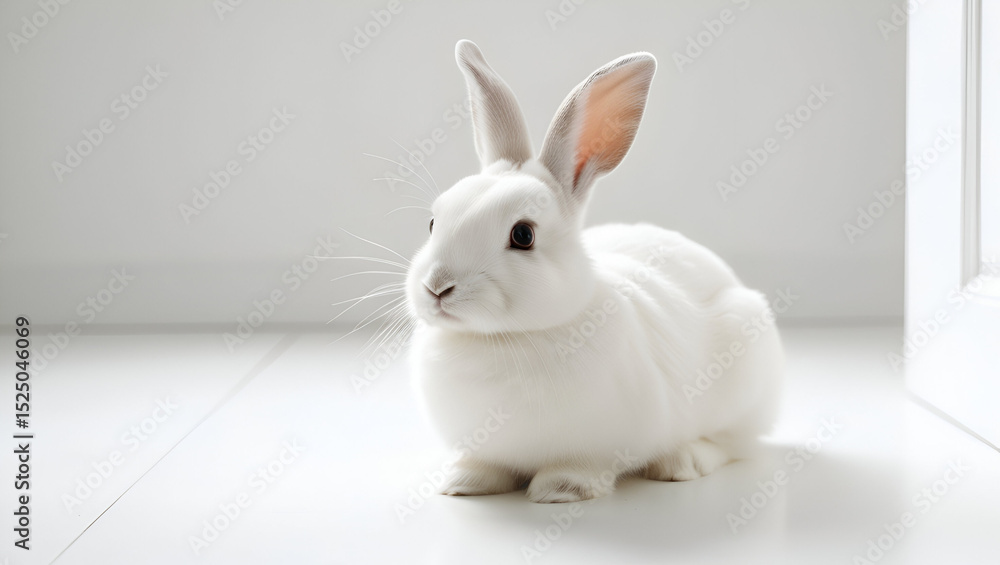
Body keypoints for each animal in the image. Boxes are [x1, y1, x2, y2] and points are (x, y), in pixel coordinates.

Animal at [404, 40, 783, 503]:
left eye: (523, 235)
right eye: (433, 222)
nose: (437, 287)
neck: (503, 338)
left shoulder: (602, 445)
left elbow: (583, 467)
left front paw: (560, 489)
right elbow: (485, 464)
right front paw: (463, 483)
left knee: (732, 442)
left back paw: (681, 463)